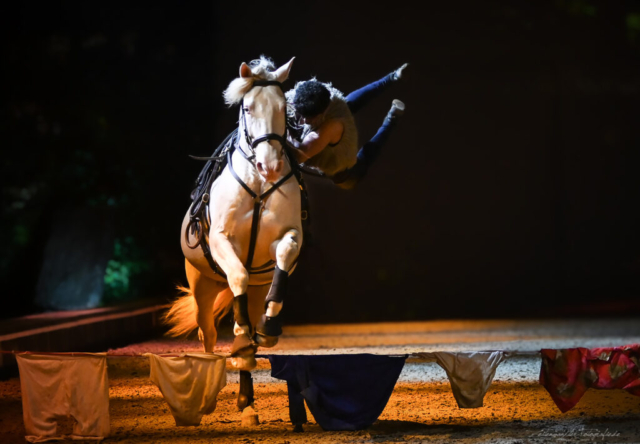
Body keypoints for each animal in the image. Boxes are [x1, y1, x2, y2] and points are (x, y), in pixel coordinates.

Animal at [164, 57, 302, 380]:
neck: (259, 185)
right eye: (248, 108)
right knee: (207, 331)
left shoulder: (288, 235)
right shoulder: (220, 240)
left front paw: (268, 327)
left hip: (257, 287)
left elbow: (286, 252)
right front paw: (240, 334)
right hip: (201, 285)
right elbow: (238, 273)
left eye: (283, 108)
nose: (269, 166)